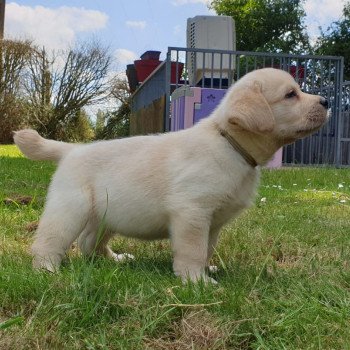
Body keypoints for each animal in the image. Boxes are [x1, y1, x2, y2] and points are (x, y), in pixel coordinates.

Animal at [14, 67, 328, 282]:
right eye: (290, 94)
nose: (325, 102)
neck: (229, 143)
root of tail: (71, 150)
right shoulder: (192, 212)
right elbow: (193, 249)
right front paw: (196, 280)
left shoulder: (212, 222)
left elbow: (207, 248)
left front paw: (206, 269)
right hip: (70, 209)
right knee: (49, 242)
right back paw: (48, 271)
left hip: (106, 215)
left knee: (89, 242)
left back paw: (115, 260)